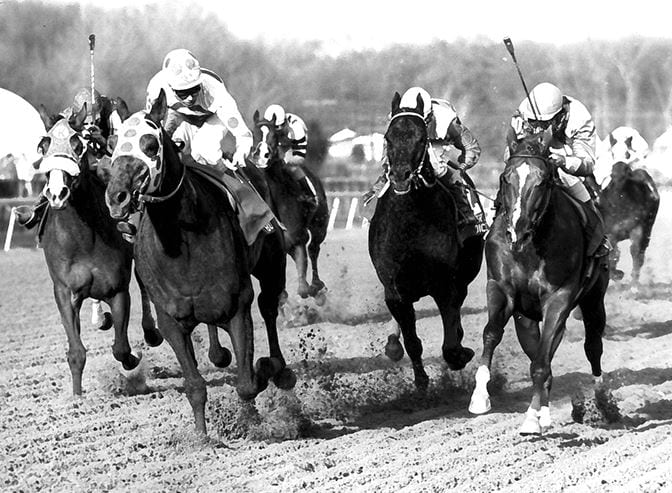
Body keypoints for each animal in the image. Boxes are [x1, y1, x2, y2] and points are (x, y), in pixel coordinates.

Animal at [37, 104, 162, 396]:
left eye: (77, 144)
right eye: (43, 145)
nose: (57, 193)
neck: (82, 240)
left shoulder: (117, 290)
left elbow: (121, 348)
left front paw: (134, 359)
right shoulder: (64, 291)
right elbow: (76, 352)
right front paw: (77, 397)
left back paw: (151, 332)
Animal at [104, 90, 294, 432]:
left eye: (150, 145)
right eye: (113, 146)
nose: (117, 197)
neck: (182, 245)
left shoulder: (237, 304)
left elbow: (247, 383)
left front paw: (259, 383)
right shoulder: (171, 319)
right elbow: (194, 385)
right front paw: (203, 437)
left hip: (271, 265)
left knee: (269, 307)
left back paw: (280, 369)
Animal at [251, 109, 330, 298]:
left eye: (273, 135)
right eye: (253, 133)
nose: (261, 156)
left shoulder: (298, 240)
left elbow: (303, 289)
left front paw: (312, 289)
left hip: (320, 225)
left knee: (314, 249)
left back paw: (317, 284)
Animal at [368, 93, 484, 388]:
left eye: (421, 139)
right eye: (388, 137)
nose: (400, 176)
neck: (410, 227)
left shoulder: (446, 286)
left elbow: (451, 343)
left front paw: (461, 355)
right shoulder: (394, 292)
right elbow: (412, 342)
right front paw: (420, 381)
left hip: (465, 275)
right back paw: (393, 344)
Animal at [470, 128, 612, 434]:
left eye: (543, 180)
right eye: (505, 177)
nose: (517, 231)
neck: (530, 248)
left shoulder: (558, 298)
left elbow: (540, 362)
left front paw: (530, 419)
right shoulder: (500, 288)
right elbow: (492, 333)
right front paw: (479, 398)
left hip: (594, 300)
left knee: (592, 346)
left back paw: (601, 400)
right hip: (527, 316)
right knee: (538, 349)